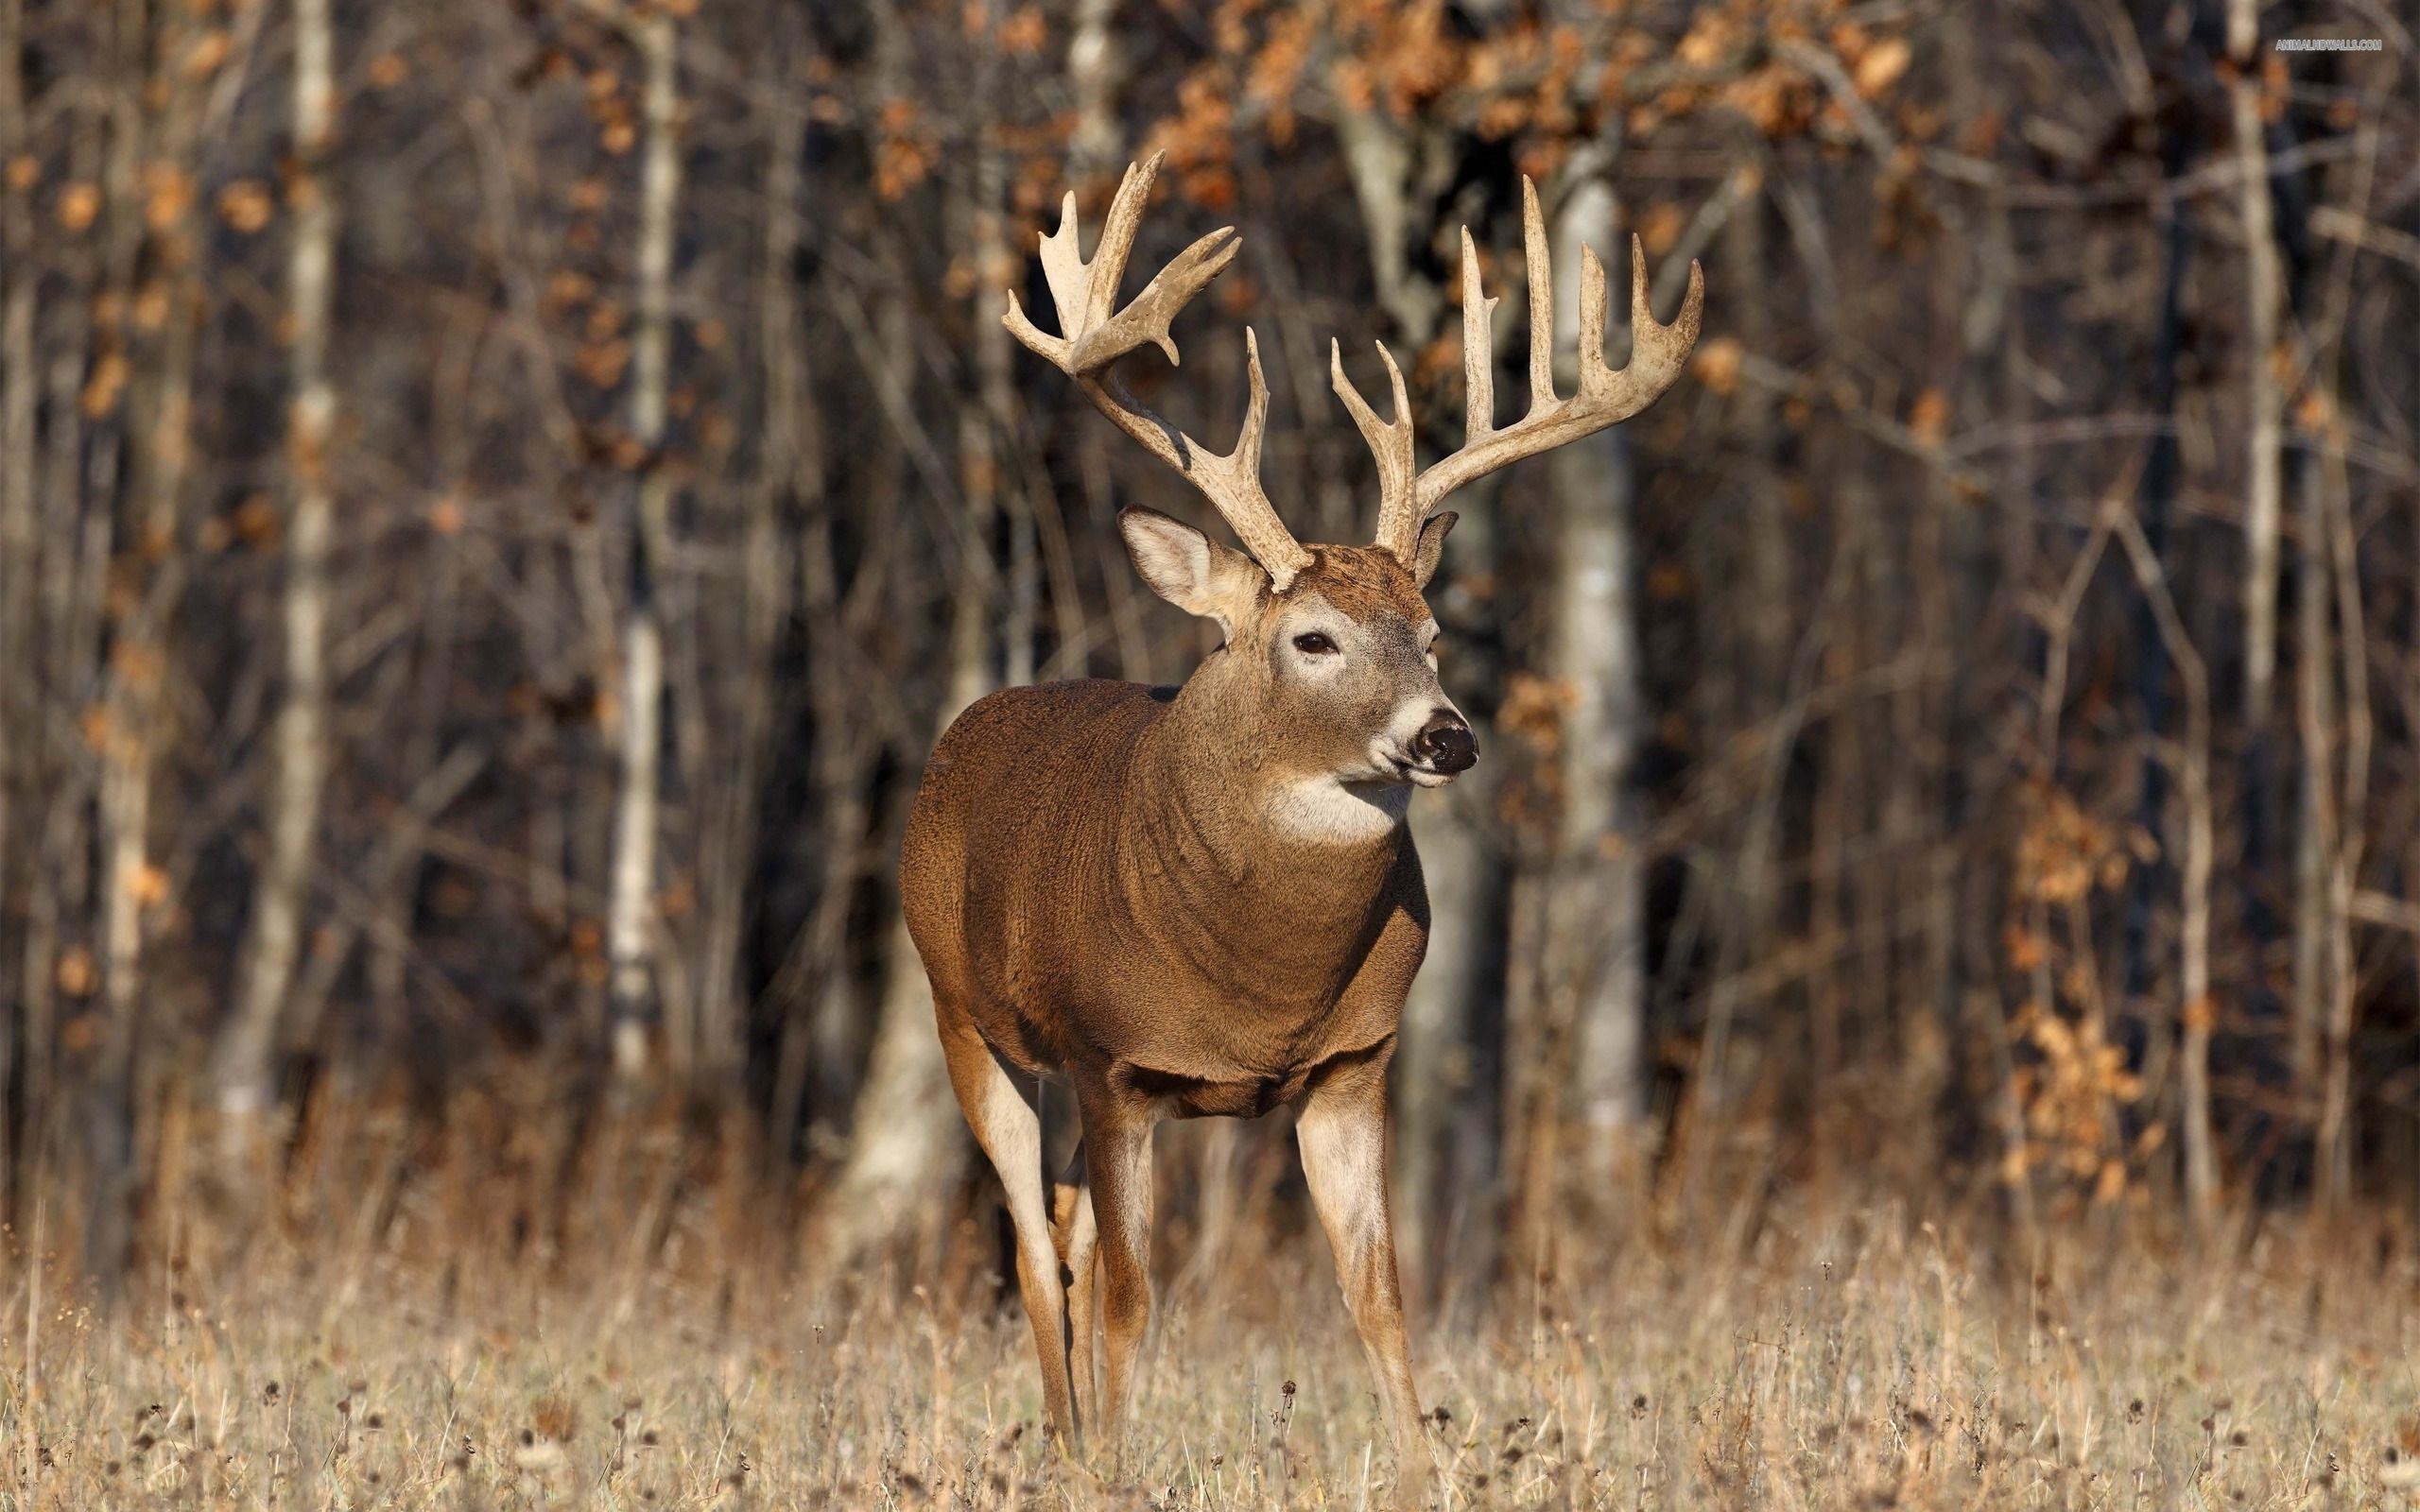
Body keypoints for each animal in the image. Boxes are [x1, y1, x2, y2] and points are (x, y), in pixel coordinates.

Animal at [899, 153, 1701, 1506]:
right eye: (1311, 638)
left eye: (1431, 631)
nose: (1447, 736)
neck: (1258, 978)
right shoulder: (1115, 1063)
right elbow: (1132, 1298)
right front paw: (1121, 1469)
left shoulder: (1352, 1064)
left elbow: (1378, 1295)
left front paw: (1426, 1474)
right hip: (967, 1019)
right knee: (1027, 1248)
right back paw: (1066, 1443)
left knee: (1055, 1231)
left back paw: (1072, 1437)